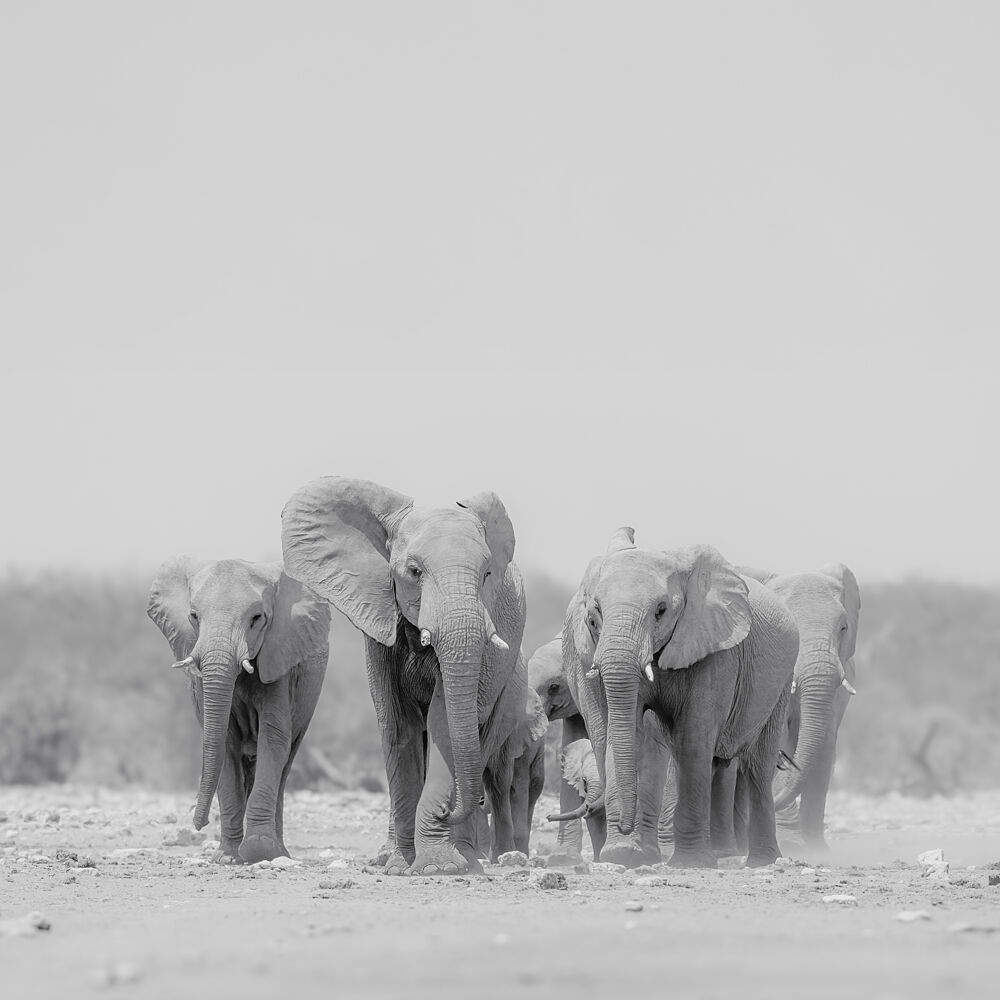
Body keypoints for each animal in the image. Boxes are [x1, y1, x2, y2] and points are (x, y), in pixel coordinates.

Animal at [147, 558, 330, 863]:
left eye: (257, 618)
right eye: (194, 616)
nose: (198, 824)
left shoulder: (279, 659)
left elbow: (273, 738)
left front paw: (259, 851)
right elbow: (224, 743)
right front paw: (228, 858)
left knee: (285, 764)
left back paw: (280, 852)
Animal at [280, 476, 526, 876]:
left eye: (487, 574)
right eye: (414, 571)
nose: (447, 812)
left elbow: (443, 722)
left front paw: (439, 868)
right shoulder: (380, 623)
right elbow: (399, 725)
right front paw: (400, 866)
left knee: (480, 734)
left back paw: (468, 857)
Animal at [564, 529, 799, 868]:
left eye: (661, 611)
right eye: (594, 618)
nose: (624, 824)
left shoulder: (716, 648)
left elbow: (693, 737)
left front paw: (692, 863)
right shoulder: (586, 657)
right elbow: (614, 733)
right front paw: (623, 855)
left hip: (780, 681)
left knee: (757, 765)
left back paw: (762, 862)